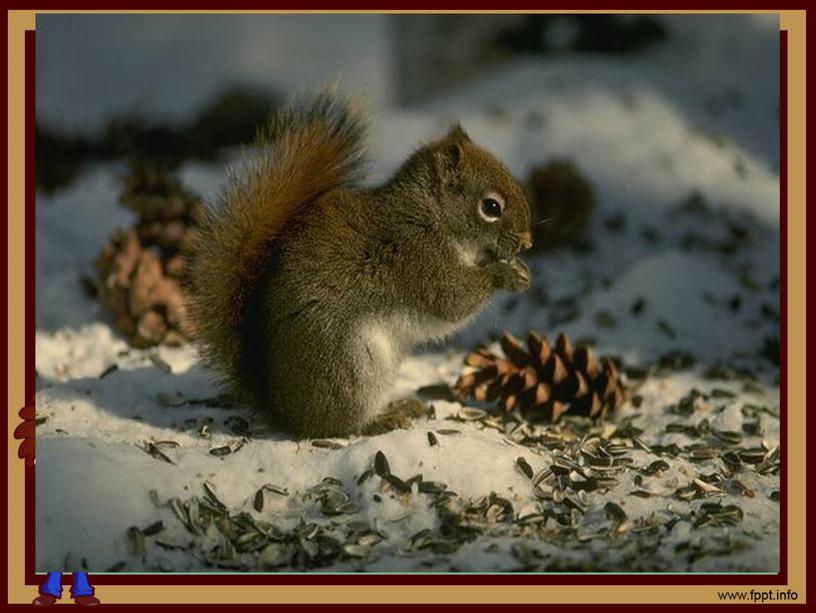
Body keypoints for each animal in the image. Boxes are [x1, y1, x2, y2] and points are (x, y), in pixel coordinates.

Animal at [185, 93, 532, 438]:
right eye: (491, 207)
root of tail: (285, 414)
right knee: (340, 425)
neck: (431, 215)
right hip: (350, 365)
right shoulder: (419, 257)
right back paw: (383, 419)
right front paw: (506, 273)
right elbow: (453, 300)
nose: (527, 243)